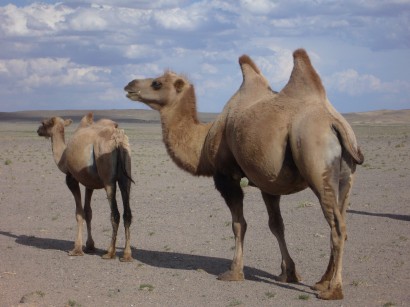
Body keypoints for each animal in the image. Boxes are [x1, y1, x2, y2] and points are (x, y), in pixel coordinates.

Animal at [37, 113, 135, 262]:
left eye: (43, 123)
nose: (38, 130)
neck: (63, 157)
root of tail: (117, 138)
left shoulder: (71, 179)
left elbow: (79, 213)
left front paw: (77, 249)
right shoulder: (90, 183)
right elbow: (88, 212)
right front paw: (90, 245)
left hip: (108, 179)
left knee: (115, 213)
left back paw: (109, 252)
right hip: (126, 174)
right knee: (127, 213)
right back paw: (127, 255)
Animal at [123, 48, 364, 300]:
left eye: (157, 83)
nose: (129, 85)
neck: (204, 141)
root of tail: (335, 123)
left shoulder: (226, 176)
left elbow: (239, 224)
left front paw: (234, 271)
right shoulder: (268, 182)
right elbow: (276, 225)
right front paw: (288, 273)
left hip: (315, 161)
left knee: (338, 227)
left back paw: (333, 290)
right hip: (345, 176)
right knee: (340, 219)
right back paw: (321, 281)